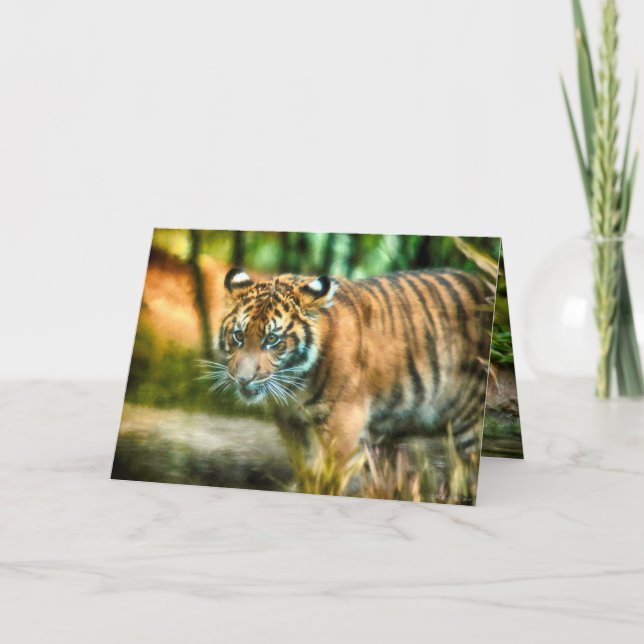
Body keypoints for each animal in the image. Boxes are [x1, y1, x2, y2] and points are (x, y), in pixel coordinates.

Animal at [213, 266, 495, 476]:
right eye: (238, 336)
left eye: (272, 339)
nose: (242, 379)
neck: (295, 385)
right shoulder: (291, 423)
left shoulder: (343, 422)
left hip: (470, 423)